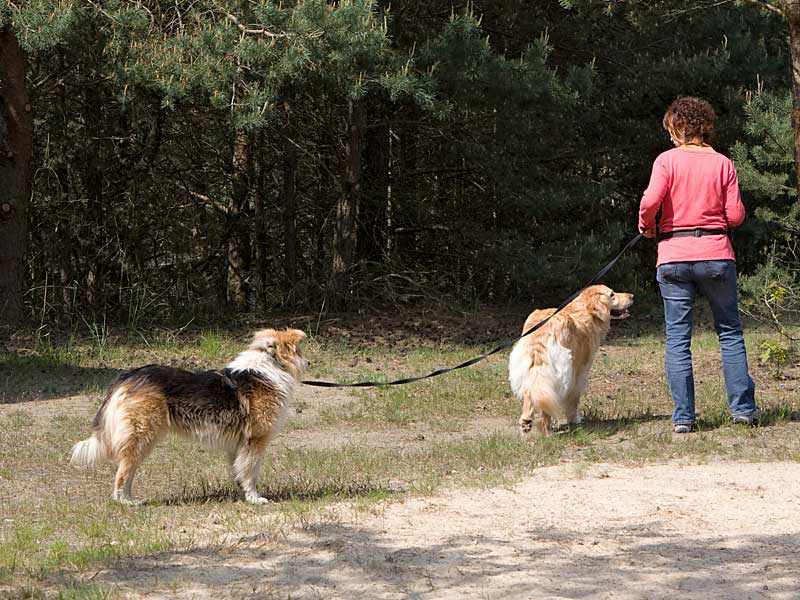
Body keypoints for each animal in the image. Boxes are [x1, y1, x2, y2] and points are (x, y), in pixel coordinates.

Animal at [70, 328, 308, 505]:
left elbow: (238, 472)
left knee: (128, 469)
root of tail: (129, 375)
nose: (309, 364)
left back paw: (131, 499)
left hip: (142, 440)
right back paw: (125, 502)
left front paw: (242, 494)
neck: (270, 365)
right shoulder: (255, 441)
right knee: (122, 473)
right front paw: (254, 498)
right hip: (142, 436)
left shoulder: (237, 445)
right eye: (299, 350)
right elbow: (250, 473)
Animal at [508, 285, 633, 435]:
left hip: (531, 369)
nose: (632, 296)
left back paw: (526, 422)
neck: (586, 311)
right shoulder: (579, 372)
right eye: (612, 294)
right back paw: (547, 431)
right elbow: (574, 399)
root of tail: (542, 332)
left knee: (531, 394)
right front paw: (574, 419)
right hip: (561, 372)